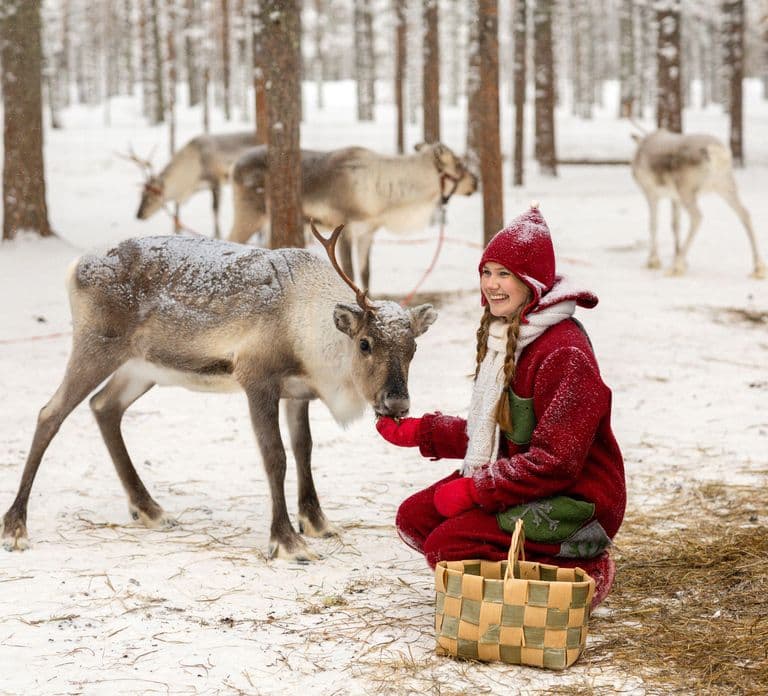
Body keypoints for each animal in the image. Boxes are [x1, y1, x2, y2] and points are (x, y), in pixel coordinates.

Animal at [1, 224, 437, 561]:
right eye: (365, 343)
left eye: (413, 348)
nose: (397, 402)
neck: (308, 330)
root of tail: (76, 267)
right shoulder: (256, 378)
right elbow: (275, 457)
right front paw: (287, 541)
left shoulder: (297, 392)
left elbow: (304, 450)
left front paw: (316, 522)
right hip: (96, 345)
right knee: (50, 413)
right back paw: (16, 527)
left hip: (141, 367)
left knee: (104, 406)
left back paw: (149, 508)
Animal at [228, 142, 478, 289]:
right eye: (458, 164)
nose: (476, 182)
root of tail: (234, 166)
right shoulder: (345, 229)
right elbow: (349, 273)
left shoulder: (368, 232)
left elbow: (366, 274)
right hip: (249, 214)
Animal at [631, 129, 765, 279]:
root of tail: (717, 151)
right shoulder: (675, 198)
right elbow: (675, 225)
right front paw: (679, 257)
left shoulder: (651, 193)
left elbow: (653, 224)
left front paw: (653, 261)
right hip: (726, 186)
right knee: (744, 214)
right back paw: (758, 268)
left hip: (687, 191)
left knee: (697, 217)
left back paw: (676, 267)